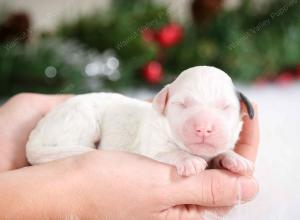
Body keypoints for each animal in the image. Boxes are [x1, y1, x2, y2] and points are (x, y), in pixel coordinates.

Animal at [27, 66, 254, 176]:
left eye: (225, 107)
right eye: (182, 105)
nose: (204, 128)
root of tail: (37, 130)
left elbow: (222, 151)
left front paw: (237, 160)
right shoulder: (152, 145)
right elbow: (170, 152)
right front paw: (189, 161)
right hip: (78, 121)